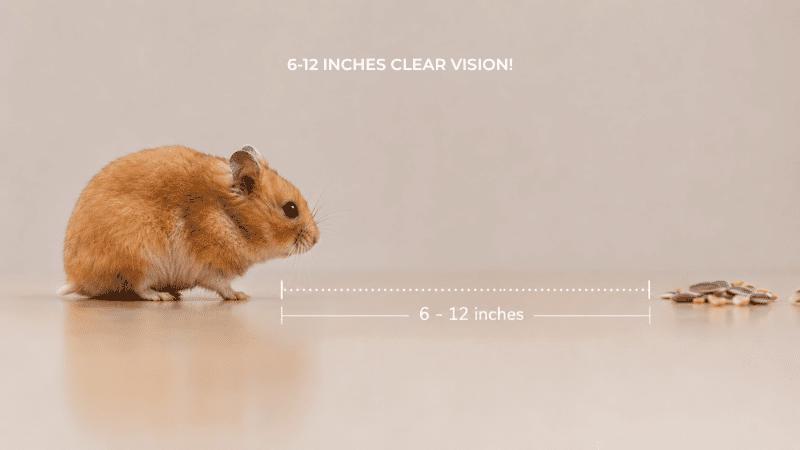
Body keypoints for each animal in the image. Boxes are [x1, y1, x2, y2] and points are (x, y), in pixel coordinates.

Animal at [59, 145, 319, 300]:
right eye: (291, 209)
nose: (317, 239)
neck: (232, 219)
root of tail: (76, 278)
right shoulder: (209, 267)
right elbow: (223, 286)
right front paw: (241, 296)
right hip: (140, 256)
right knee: (139, 286)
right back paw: (162, 297)